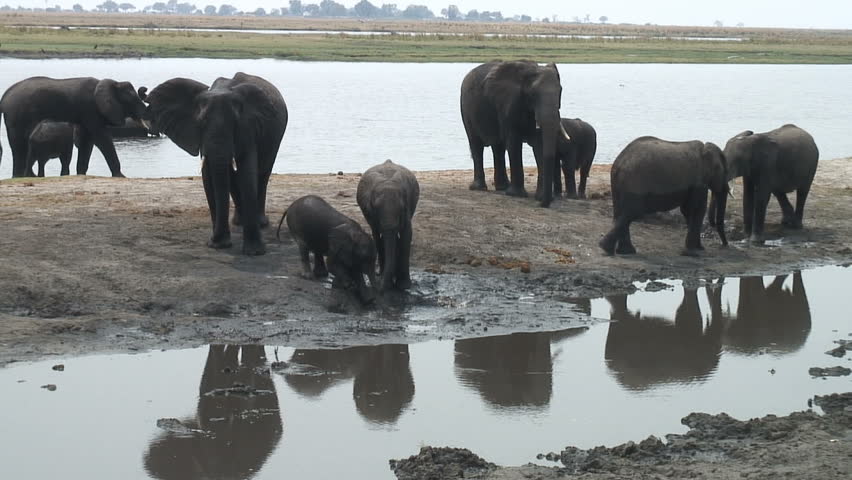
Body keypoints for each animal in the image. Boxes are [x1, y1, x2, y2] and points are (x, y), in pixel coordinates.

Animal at [0, 76, 147, 177]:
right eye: (132, 100)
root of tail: (4, 97)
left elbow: (87, 140)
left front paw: (81, 174)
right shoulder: (90, 108)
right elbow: (101, 138)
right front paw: (121, 176)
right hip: (16, 116)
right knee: (19, 146)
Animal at [142, 73, 288, 256]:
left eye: (235, 123)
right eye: (202, 122)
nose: (215, 239)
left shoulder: (249, 128)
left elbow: (247, 174)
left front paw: (254, 252)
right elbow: (209, 178)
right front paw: (219, 244)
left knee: (262, 175)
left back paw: (261, 223)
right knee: (233, 180)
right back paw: (238, 222)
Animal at [356, 160, 420, 291]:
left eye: (401, 208)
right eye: (376, 208)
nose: (379, 287)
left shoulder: (406, 209)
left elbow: (406, 235)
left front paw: (404, 286)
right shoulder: (372, 215)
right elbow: (379, 236)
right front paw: (389, 283)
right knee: (379, 237)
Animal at [460, 60, 571, 207]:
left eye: (560, 91)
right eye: (533, 94)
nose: (542, 204)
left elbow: (540, 145)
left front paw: (539, 197)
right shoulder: (509, 103)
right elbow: (514, 142)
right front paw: (517, 195)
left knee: (498, 148)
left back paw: (502, 187)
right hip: (466, 109)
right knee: (476, 145)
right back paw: (480, 188)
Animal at [599, 136, 729, 256]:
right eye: (724, 172)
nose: (725, 245)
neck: (706, 149)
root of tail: (619, 162)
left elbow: (687, 210)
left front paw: (699, 248)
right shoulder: (698, 181)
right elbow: (696, 209)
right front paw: (693, 252)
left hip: (617, 184)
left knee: (620, 212)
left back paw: (623, 251)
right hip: (634, 183)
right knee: (632, 212)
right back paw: (608, 248)